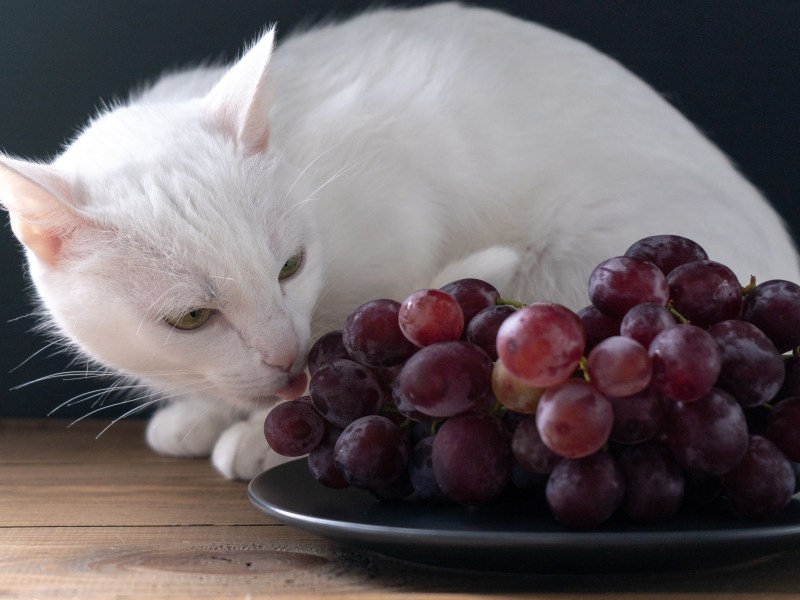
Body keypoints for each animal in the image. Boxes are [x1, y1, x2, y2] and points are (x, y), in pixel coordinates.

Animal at [1, 1, 800, 478]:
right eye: (191, 318)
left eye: (291, 266)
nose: (283, 353)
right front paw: (204, 415)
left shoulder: (407, 220)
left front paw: (266, 434)